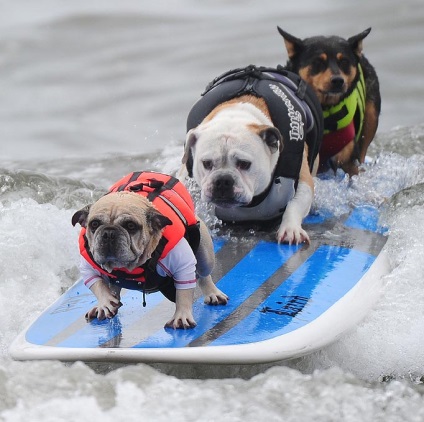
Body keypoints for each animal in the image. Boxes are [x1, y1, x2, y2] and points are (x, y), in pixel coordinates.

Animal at [72, 191, 229, 330]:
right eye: (94, 224)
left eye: (130, 226)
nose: (109, 233)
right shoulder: (87, 266)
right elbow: (97, 285)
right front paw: (105, 302)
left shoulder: (183, 266)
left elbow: (183, 294)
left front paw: (181, 316)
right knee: (113, 284)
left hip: (205, 255)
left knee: (204, 274)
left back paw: (213, 293)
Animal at [278, 26, 380, 176]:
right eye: (318, 62)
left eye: (344, 62)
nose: (338, 80)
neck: (325, 108)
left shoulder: (347, 157)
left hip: (371, 117)